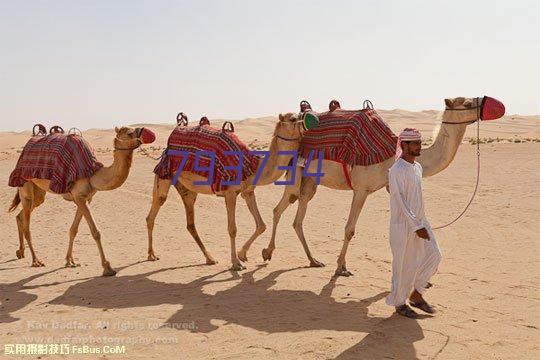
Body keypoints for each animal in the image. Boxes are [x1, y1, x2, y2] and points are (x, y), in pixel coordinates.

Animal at [8, 126, 156, 276]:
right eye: (129, 133)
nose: (146, 131)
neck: (93, 174)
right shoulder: (79, 197)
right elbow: (95, 232)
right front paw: (107, 267)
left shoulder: (85, 198)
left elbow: (73, 229)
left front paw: (70, 261)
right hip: (24, 184)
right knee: (27, 224)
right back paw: (36, 261)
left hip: (38, 193)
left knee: (21, 215)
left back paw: (20, 252)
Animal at [146, 113, 314, 270]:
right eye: (293, 118)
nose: (310, 121)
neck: (252, 166)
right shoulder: (230, 193)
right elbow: (232, 229)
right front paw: (236, 263)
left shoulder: (248, 191)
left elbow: (261, 225)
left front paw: (243, 255)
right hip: (164, 175)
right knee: (154, 211)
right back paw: (151, 255)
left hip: (187, 189)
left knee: (190, 223)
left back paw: (210, 258)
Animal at [238, 95, 504, 276]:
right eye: (465, 103)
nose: (491, 103)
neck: (391, 153)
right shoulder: (361, 189)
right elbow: (349, 229)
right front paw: (341, 267)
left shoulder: (388, 187)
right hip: (296, 173)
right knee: (280, 207)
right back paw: (262, 252)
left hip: (311, 180)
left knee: (297, 216)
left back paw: (313, 260)